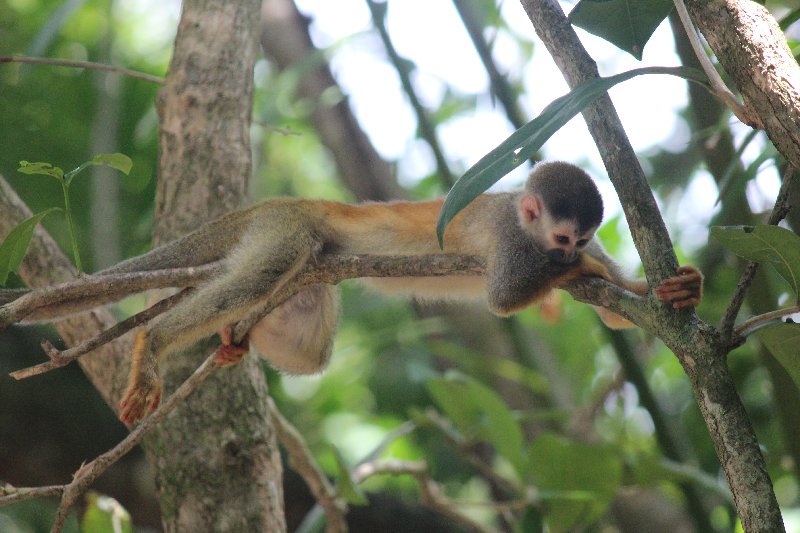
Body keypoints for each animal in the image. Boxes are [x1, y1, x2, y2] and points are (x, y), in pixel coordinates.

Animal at [12, 160, 700, 422]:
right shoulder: (510, 238)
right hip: (286, 231)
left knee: (301, 336)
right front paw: (589, 279)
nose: (570, 254)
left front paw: (664, 289)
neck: (525, 227)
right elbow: (504, 297)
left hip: (312, 263)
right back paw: (154, 342)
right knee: (261, 272)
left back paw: (238, 338)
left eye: (579, 236)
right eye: (561, 240)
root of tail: (284, 202)